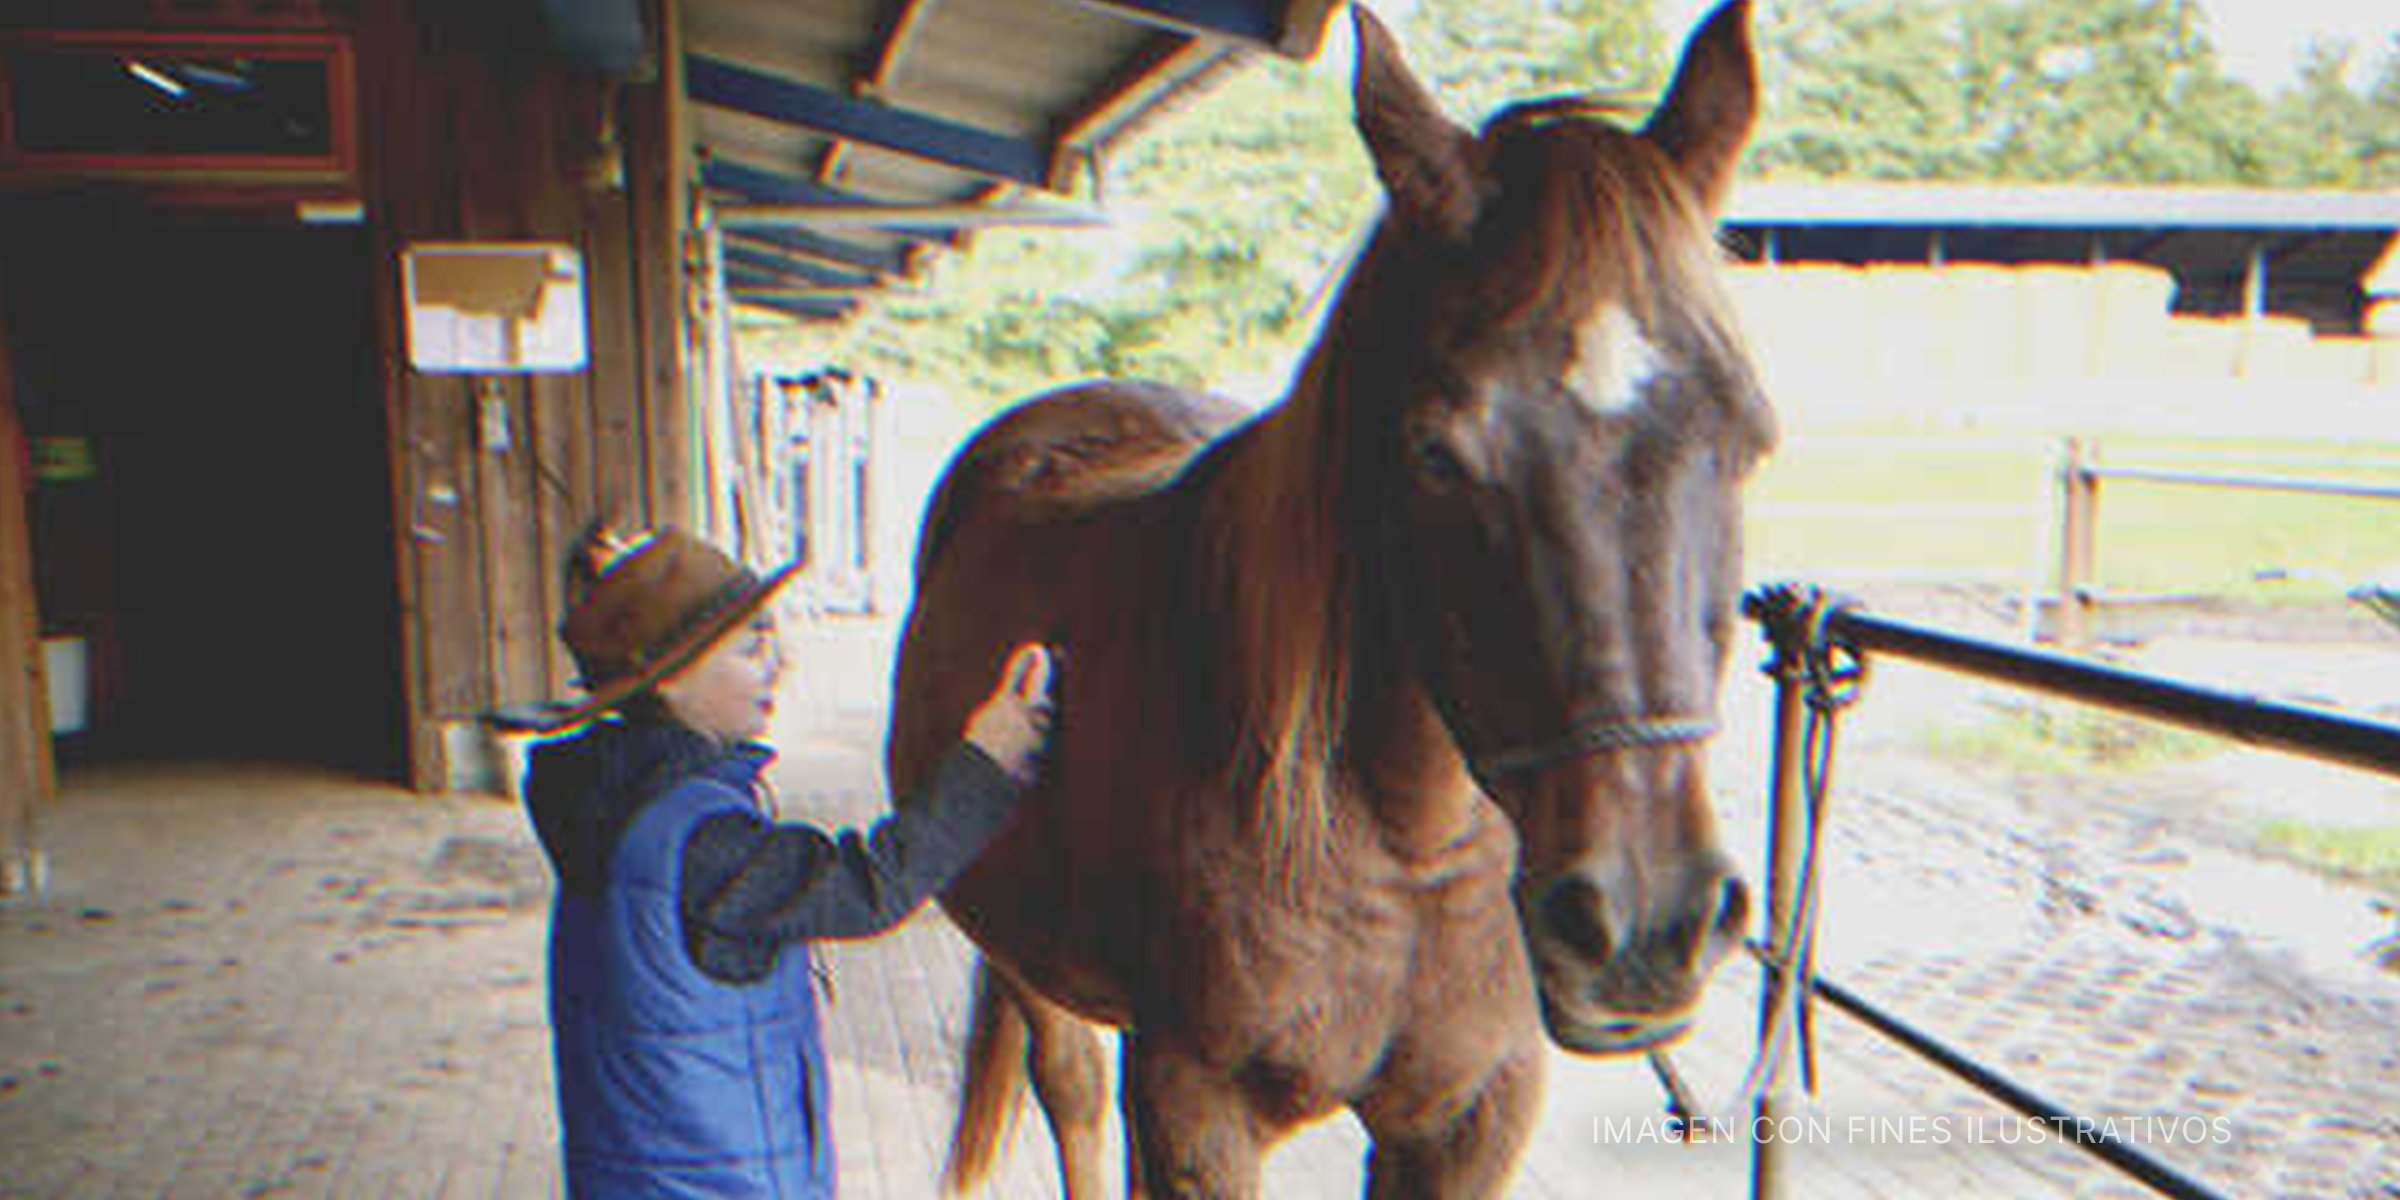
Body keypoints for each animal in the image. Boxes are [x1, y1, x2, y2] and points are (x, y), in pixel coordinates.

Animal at [892, 4, 1776, 1195]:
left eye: (1750, 437)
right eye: (1438, 453)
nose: (1643, 924)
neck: (1401, 850)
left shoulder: (1470, 1119)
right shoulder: (1199, 1114)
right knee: (1068, 1088)